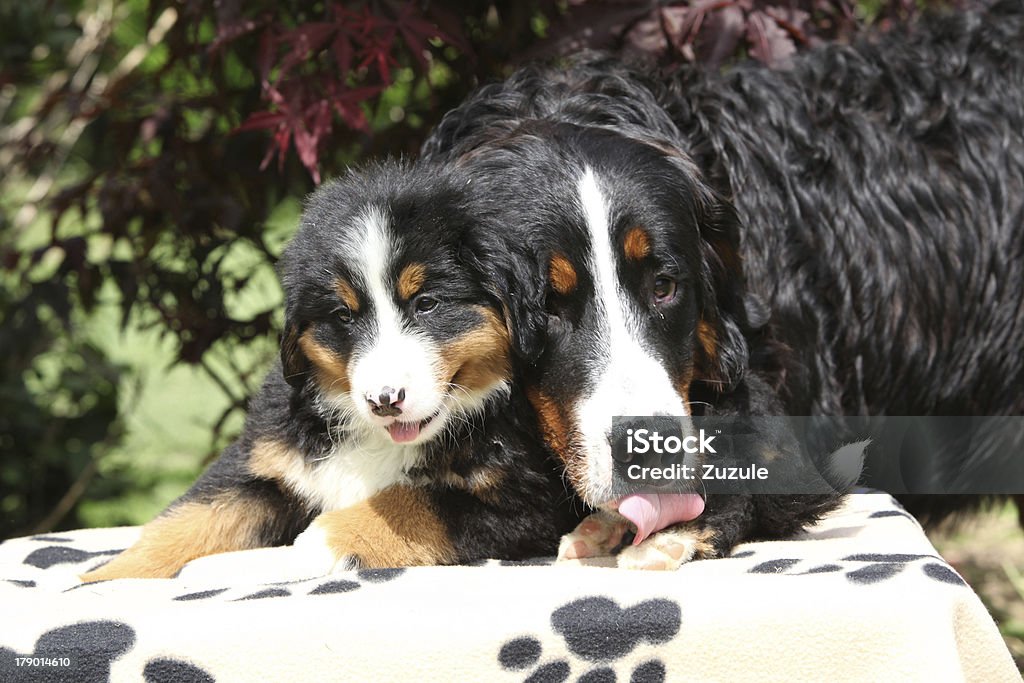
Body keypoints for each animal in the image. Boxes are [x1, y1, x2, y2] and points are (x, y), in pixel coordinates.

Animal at [79, 161, 585, 581]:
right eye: (344, 316)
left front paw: (293, 552)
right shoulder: (265, 461)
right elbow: (192, 515)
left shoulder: (526, 503)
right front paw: (101, 580)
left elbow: (405, 503)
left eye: (426, 304)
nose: (385, 401)